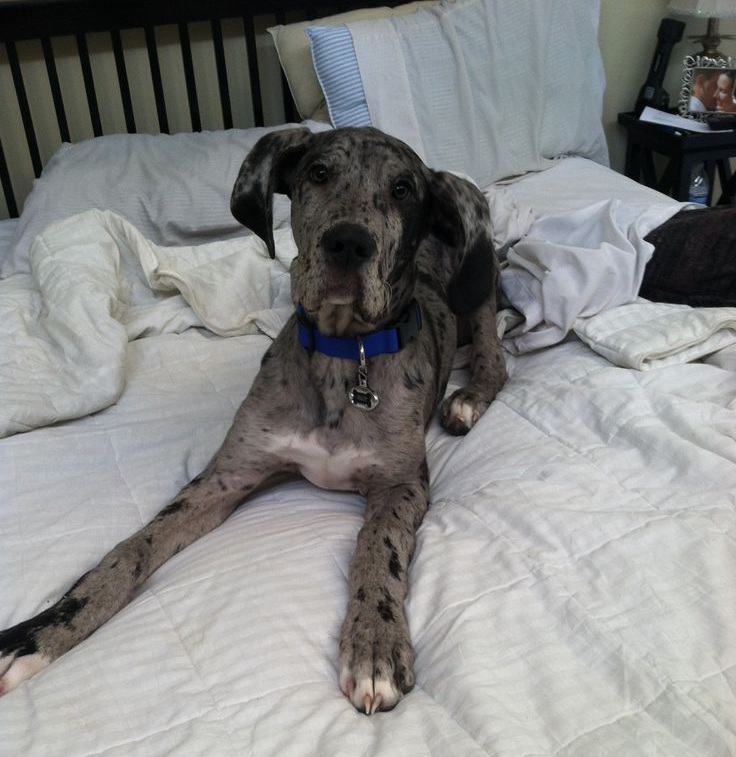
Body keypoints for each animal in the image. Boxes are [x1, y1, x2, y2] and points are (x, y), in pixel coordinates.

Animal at [0, 127, 506, 712]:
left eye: (403, 189)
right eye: (318, 172)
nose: (348, 243)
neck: (342, 356)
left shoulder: (402, 485)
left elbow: (378, 545)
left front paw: (374, 642)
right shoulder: (226, 476)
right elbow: (131, 548)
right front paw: (44, 633)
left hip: (480, 283)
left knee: (496, 356)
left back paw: (466, 401)